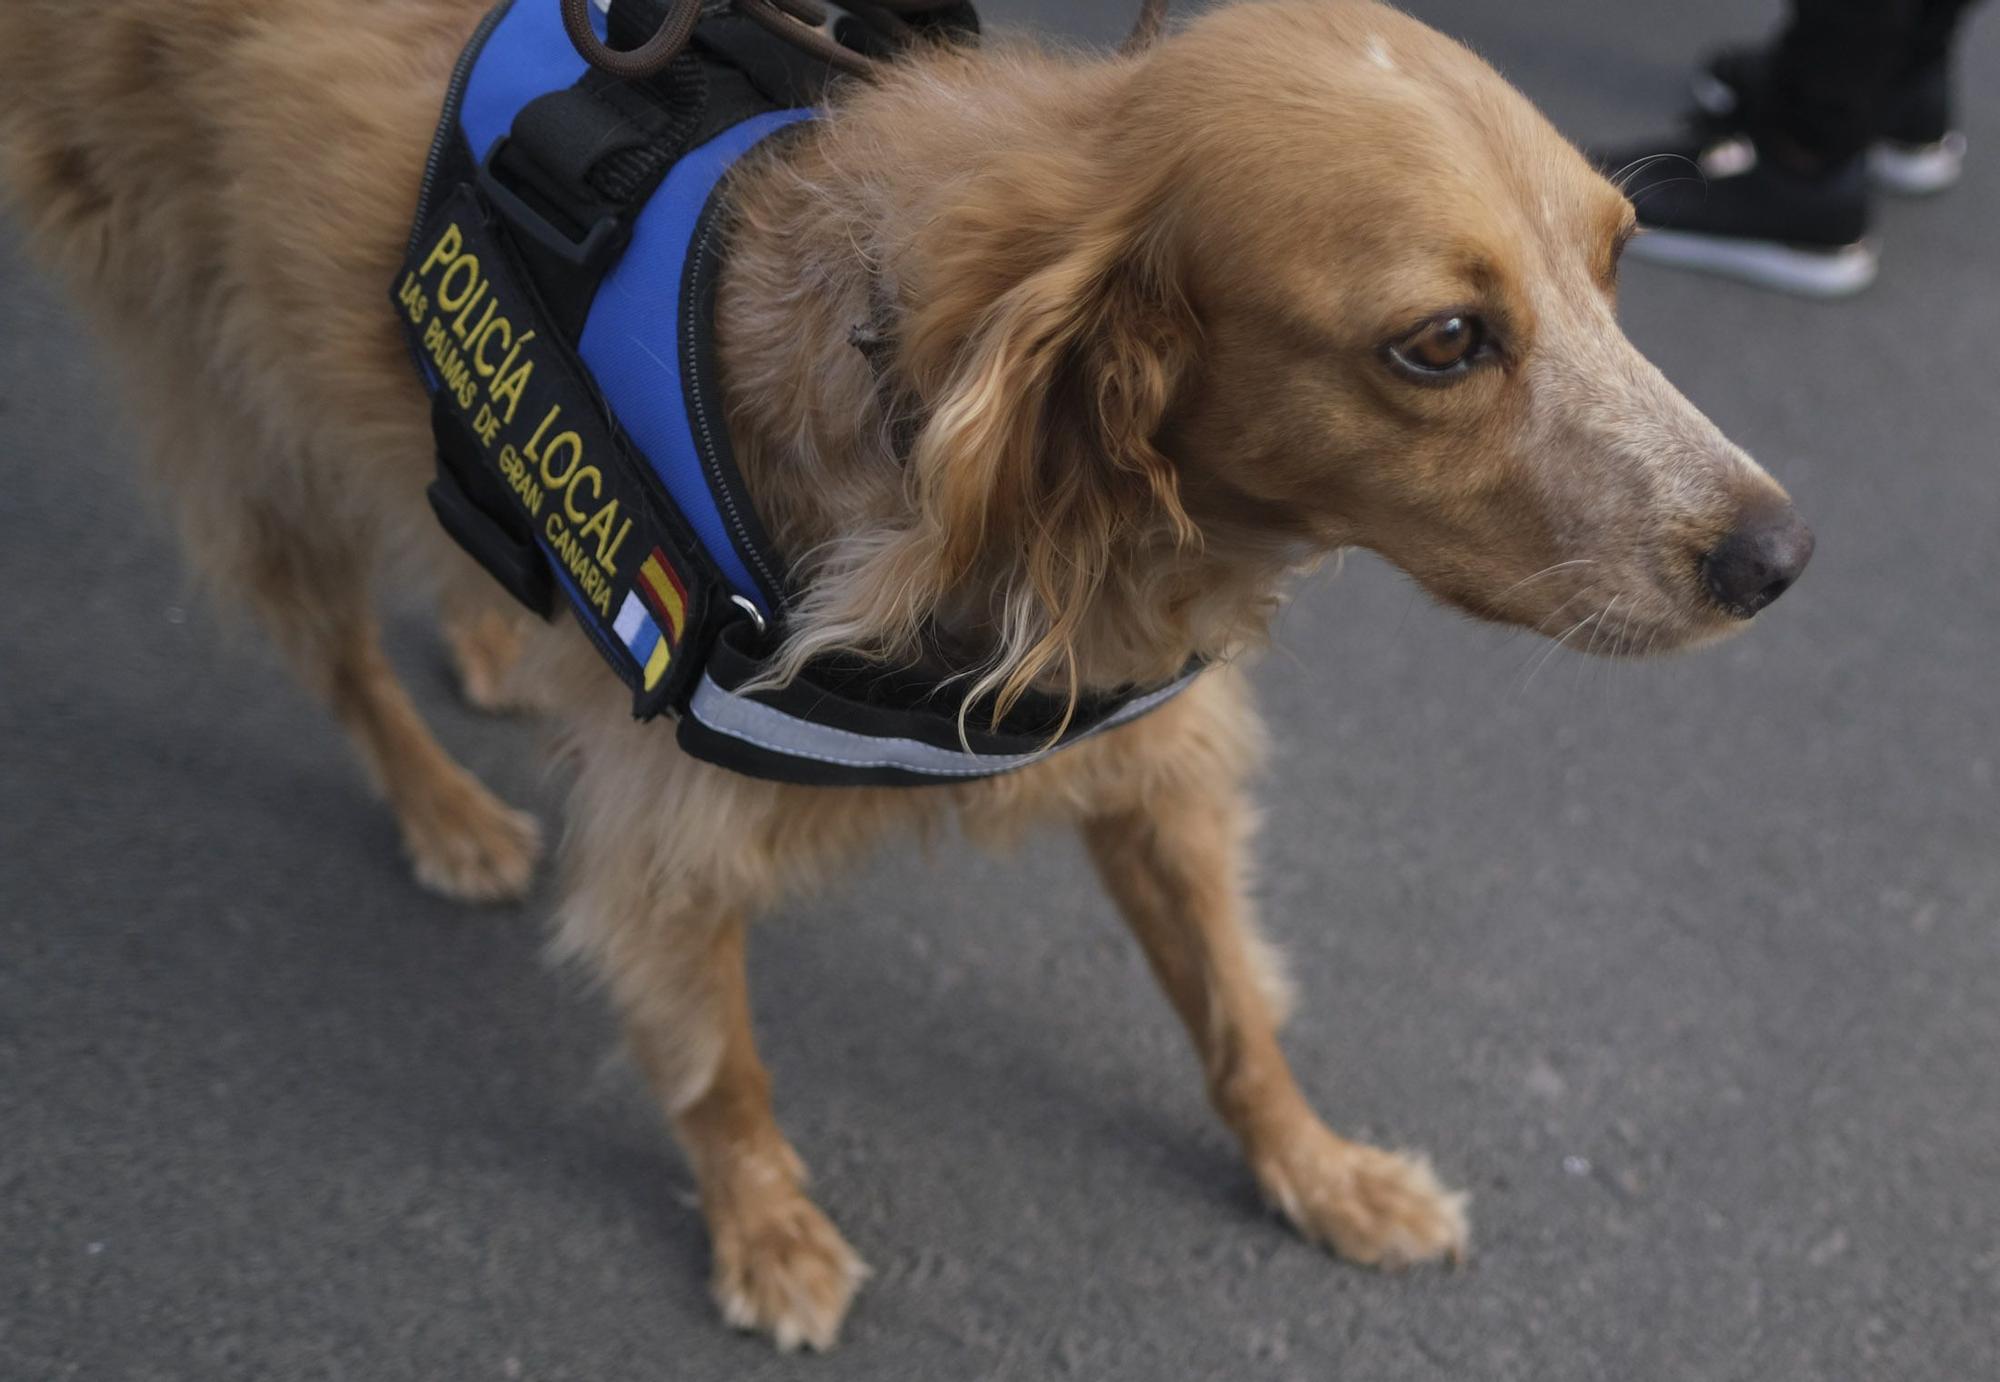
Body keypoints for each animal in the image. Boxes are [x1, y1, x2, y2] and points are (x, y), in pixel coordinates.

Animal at [0, 0, 1816, 1352]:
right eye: (1441, 343)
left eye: (1616, 261)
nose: (1779, 554)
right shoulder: (669, 834)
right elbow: (720, 1064)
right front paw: (768, 1231)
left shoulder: (1152, 764)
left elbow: (1234, 1007)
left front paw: (1320, 1170)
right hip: (242, 420)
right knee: (336, 658)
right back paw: (444, 809)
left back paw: (499, 634)